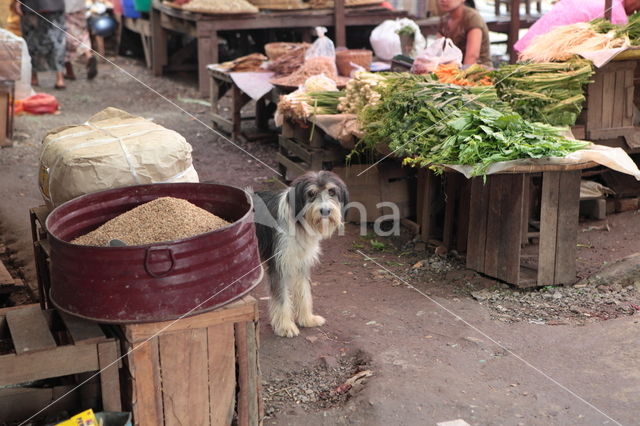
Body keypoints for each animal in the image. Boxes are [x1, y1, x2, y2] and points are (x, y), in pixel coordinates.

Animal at [251, 171, 350, 338]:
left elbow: (304, 293)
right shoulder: (279, 264)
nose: (325, 211)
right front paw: (285, 326)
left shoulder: (301, 263)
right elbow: (282, 298)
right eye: (311, 194)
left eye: (332, 192)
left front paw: (307, 319)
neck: (299, 224)